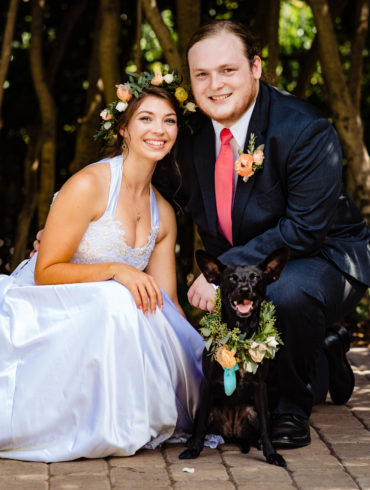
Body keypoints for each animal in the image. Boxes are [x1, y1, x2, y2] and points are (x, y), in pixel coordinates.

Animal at [178, 249, 290, 468]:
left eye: (256, 277)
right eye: (231, 278)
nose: (245, 290)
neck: (240, 334)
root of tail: (232, 432)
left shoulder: (260, 386)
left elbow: (265, 429)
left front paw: (272, 454)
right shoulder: (208, 384)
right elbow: (201, 425)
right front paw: (194, 449)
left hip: (254, 411)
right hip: (211, 410)